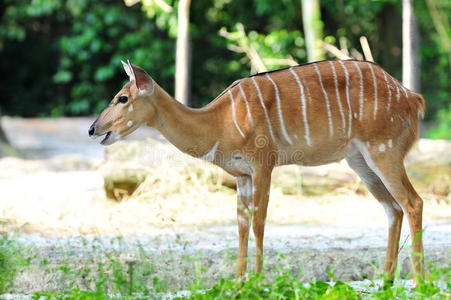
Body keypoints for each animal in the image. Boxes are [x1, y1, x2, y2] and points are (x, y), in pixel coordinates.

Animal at [90, 58, 426, 284]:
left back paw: (420, 281)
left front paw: (257, 280)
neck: (220, 122)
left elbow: (259, 221)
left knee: (413, 202)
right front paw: (238, 281)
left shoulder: (264, 162)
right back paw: (386, 281)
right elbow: (240, 223)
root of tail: (412, 98)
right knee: (393, 208)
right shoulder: (242, 175)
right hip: (359, 160)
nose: (93, 129)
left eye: (122, 98)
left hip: (384, 150)